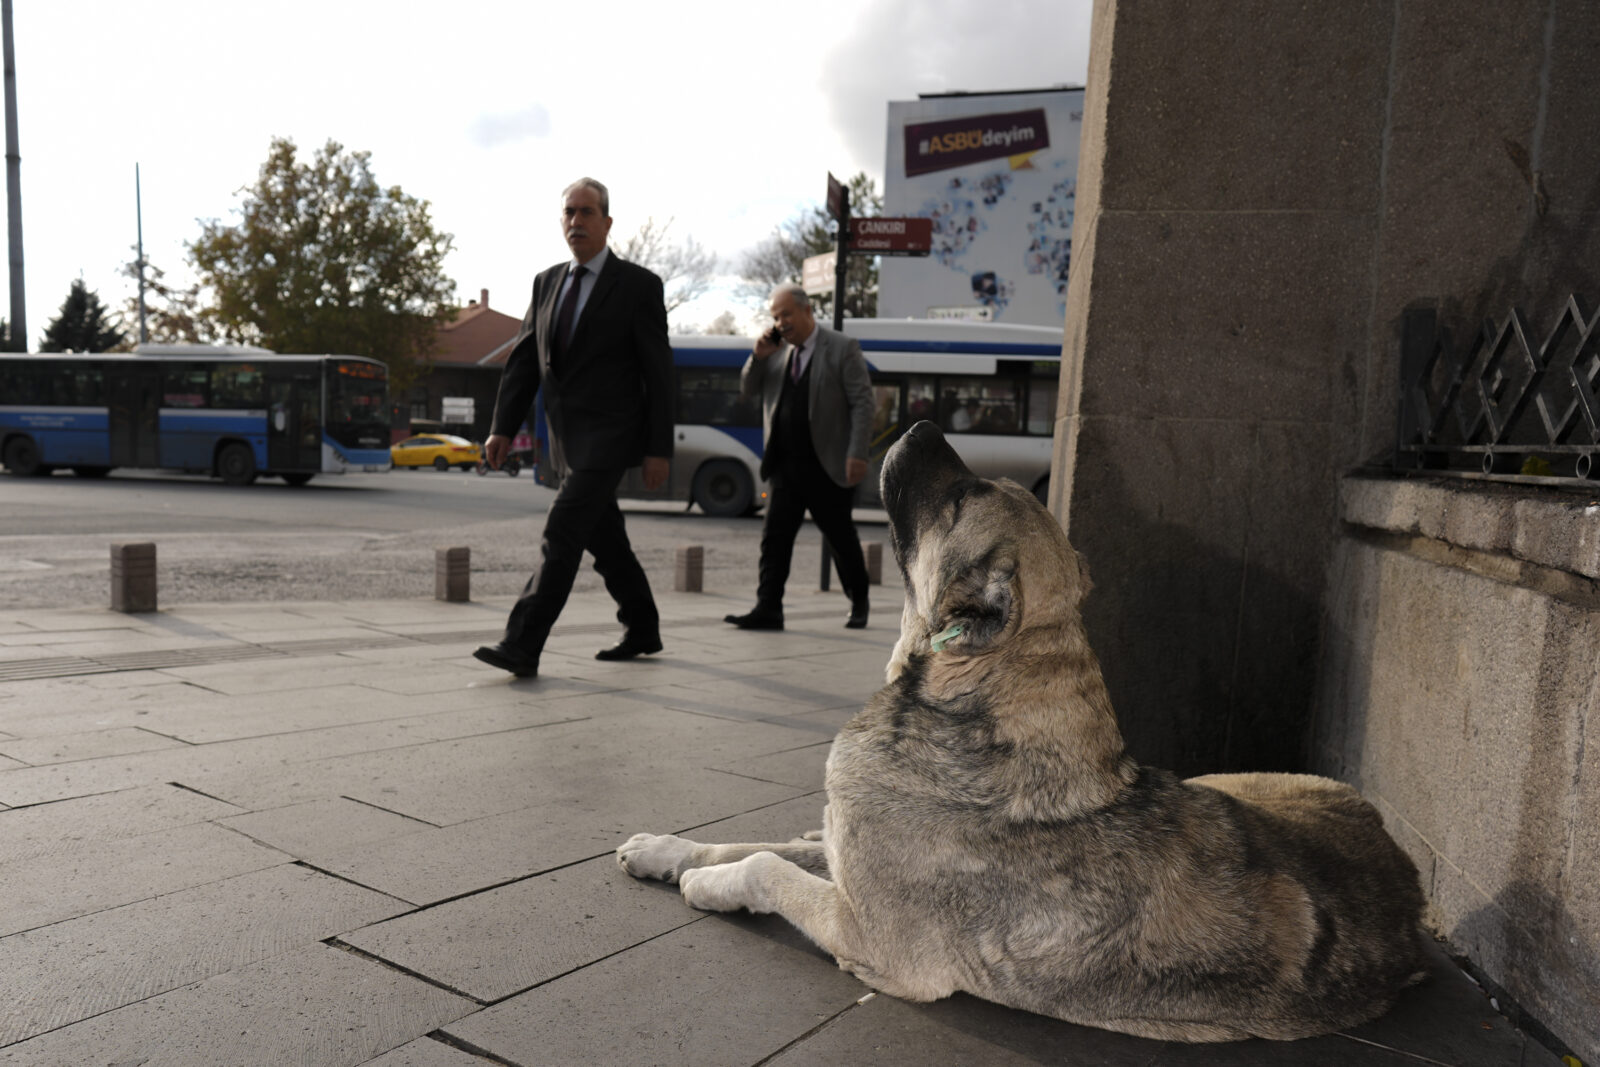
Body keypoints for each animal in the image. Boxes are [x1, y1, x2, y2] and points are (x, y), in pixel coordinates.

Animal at [617, 422, 1433, 1036]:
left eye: (963, 496)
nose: (922, 422)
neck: (972, 690)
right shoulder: (852, 859)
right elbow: (756, 842)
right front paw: (665, 848)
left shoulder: (868, 932)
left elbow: (764, 866)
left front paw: (704, 882)